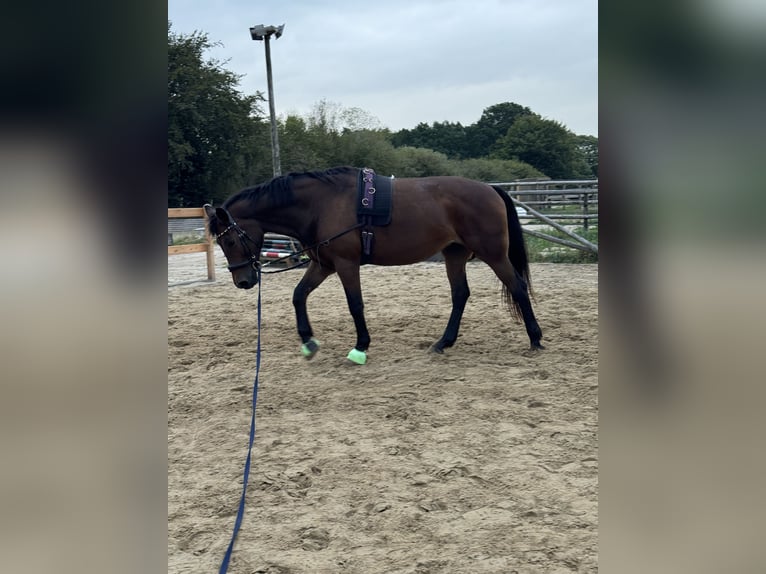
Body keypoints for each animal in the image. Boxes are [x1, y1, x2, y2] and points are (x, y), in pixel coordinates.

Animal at [204, 166, 540, 364]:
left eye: (229, 240)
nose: (243, 281)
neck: (320, 205)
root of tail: (490, 189)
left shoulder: (346, 263)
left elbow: (355, 304)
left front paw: (360, 347)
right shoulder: (323, 264)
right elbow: (299, 295)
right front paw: (308, 342)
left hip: (493, 254)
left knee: (517, 286)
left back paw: (535, 339)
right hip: (455, 254)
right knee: (460, 295)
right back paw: (443, 342)